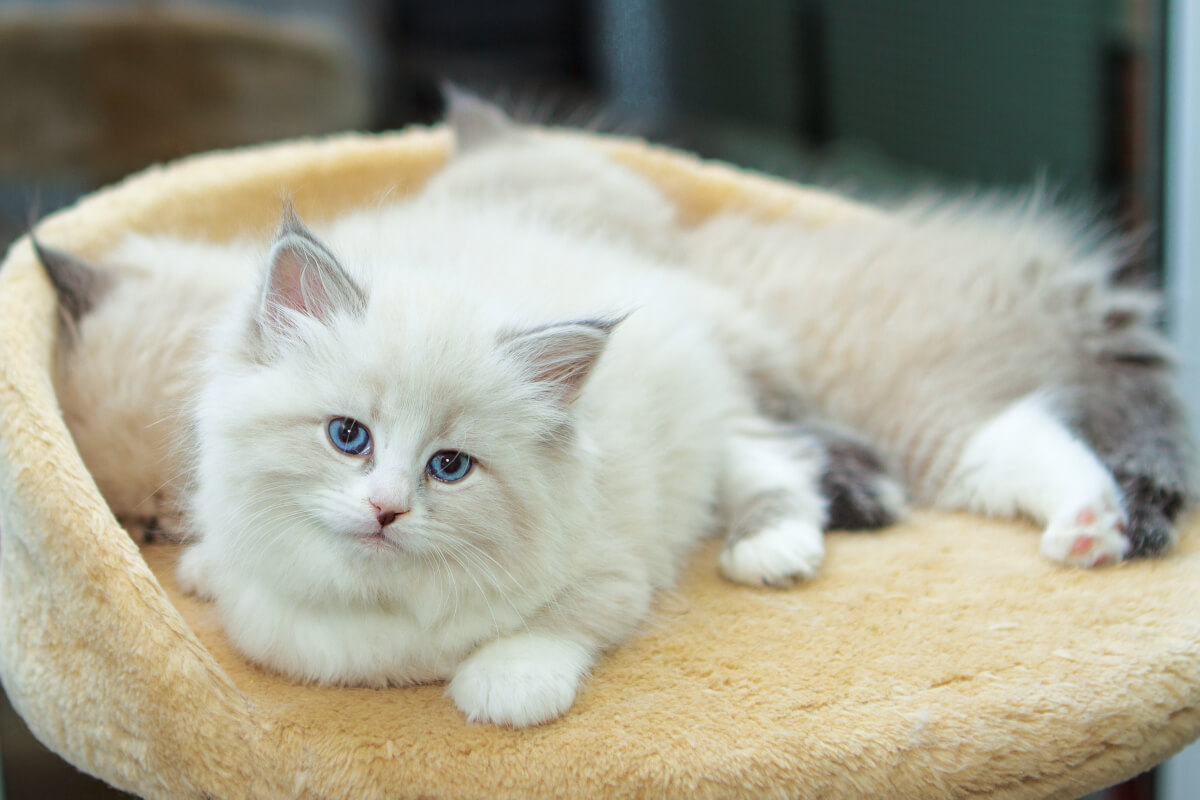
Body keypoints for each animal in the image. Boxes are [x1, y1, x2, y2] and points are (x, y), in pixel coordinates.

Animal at [39, 92, 1190, 724]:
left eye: (450, 465)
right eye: (346, 438)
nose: (385, 510)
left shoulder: (609, 566)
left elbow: (558, 628)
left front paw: (502, 688)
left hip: (894, 393)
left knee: (1004, 435)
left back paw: (1084, 526)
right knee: (806, 462)